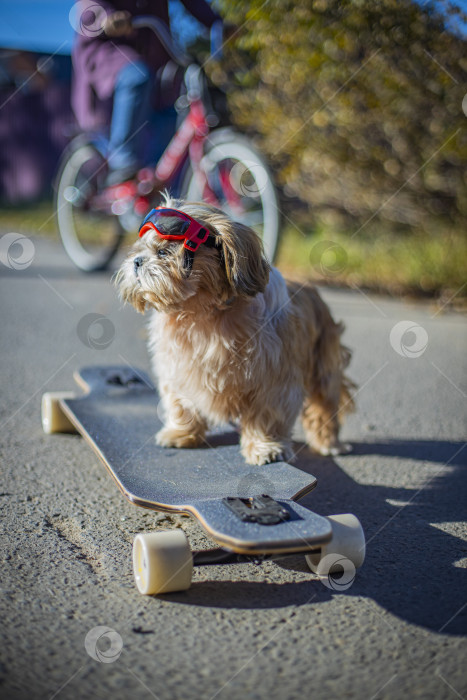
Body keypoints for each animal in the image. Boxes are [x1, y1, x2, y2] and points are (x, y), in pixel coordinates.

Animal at [116, 196, 354, 464]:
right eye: (139, 251)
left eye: (163, 252)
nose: (137, 261)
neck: (202, 314)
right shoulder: (177, 370)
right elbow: (181, 403)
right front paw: (180, 433)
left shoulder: (274, 379)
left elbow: (266, 415)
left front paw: (265, 447)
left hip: (324, 368)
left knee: (324, 407)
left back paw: (328, 443)